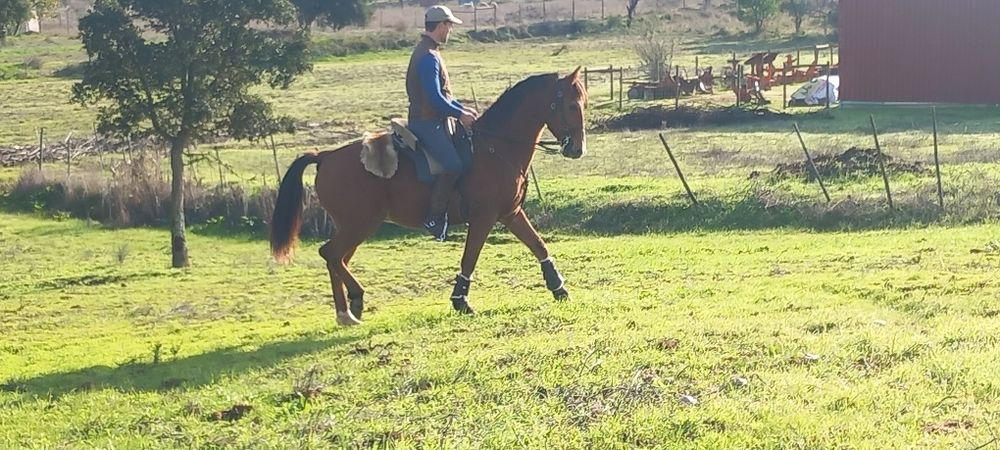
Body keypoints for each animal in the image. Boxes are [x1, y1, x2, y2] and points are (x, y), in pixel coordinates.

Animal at [269, 68, 588, 326]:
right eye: (571, 105)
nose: (577, 149)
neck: (495, 147)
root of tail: (325, 156)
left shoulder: (510, 213)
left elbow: (538, 245)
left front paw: (559, 288)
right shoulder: (484, 218)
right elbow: (469, 258)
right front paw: (460, 301)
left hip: (354, 227)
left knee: (337, 259)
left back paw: (348, 310)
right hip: (359, 225)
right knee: (331, 254)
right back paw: (351, 304)